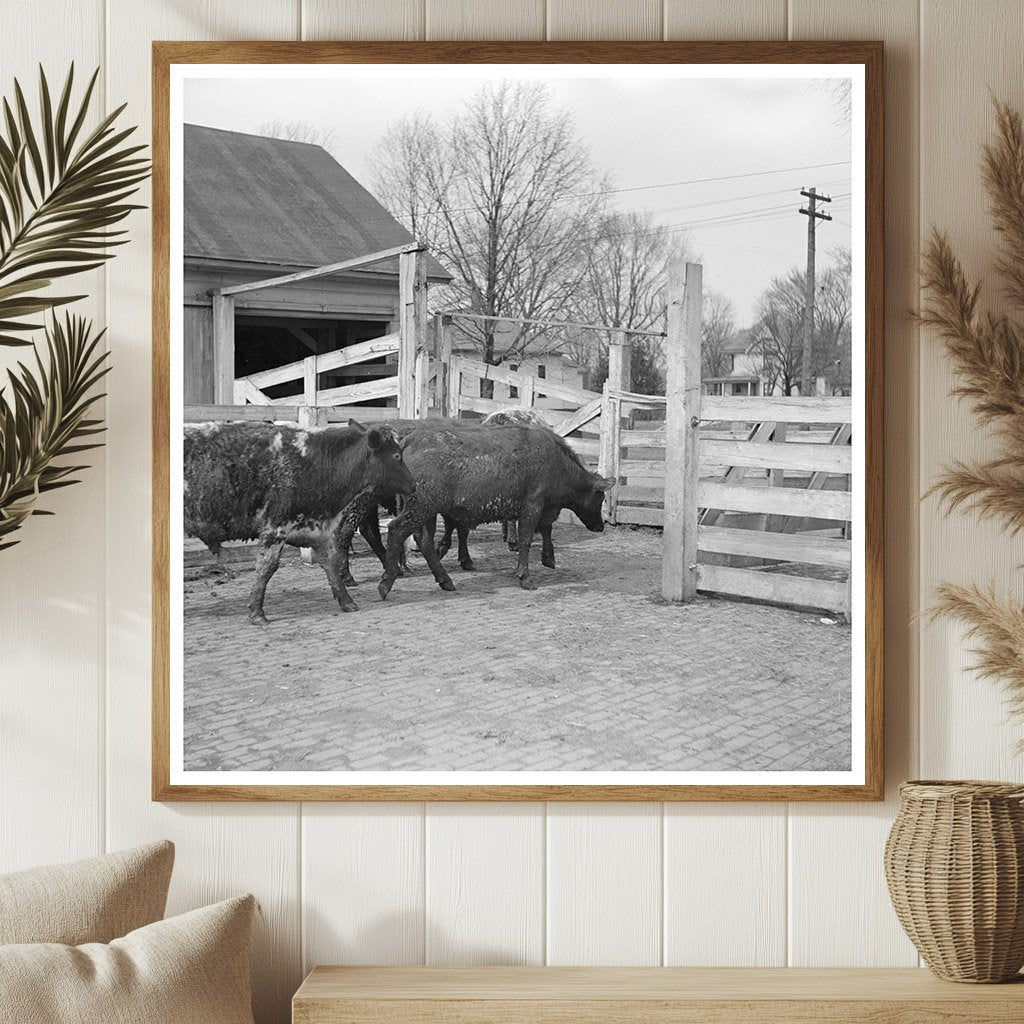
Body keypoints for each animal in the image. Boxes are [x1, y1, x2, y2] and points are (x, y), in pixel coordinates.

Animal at [184, 417, 411, 622]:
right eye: (397, 455)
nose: (414, 484)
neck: (312, 463)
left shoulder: (317, 528)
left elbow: (331, 563)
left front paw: (347, 601)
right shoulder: (275, 529)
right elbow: (266, 568)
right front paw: (257, 612)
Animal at [378, 421, 610, 598]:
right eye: (601, 497)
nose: (600, 526)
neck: (558, 464)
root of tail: (409, 441)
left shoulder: (544, 508)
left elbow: (546, 530)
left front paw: (548, 557)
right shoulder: (532, 505)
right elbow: (526, 540)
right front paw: (525, 577)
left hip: (427, 510)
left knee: (424, 541)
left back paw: (445, 580)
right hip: (421, 507)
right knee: (396, 530)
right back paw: (386, 582)